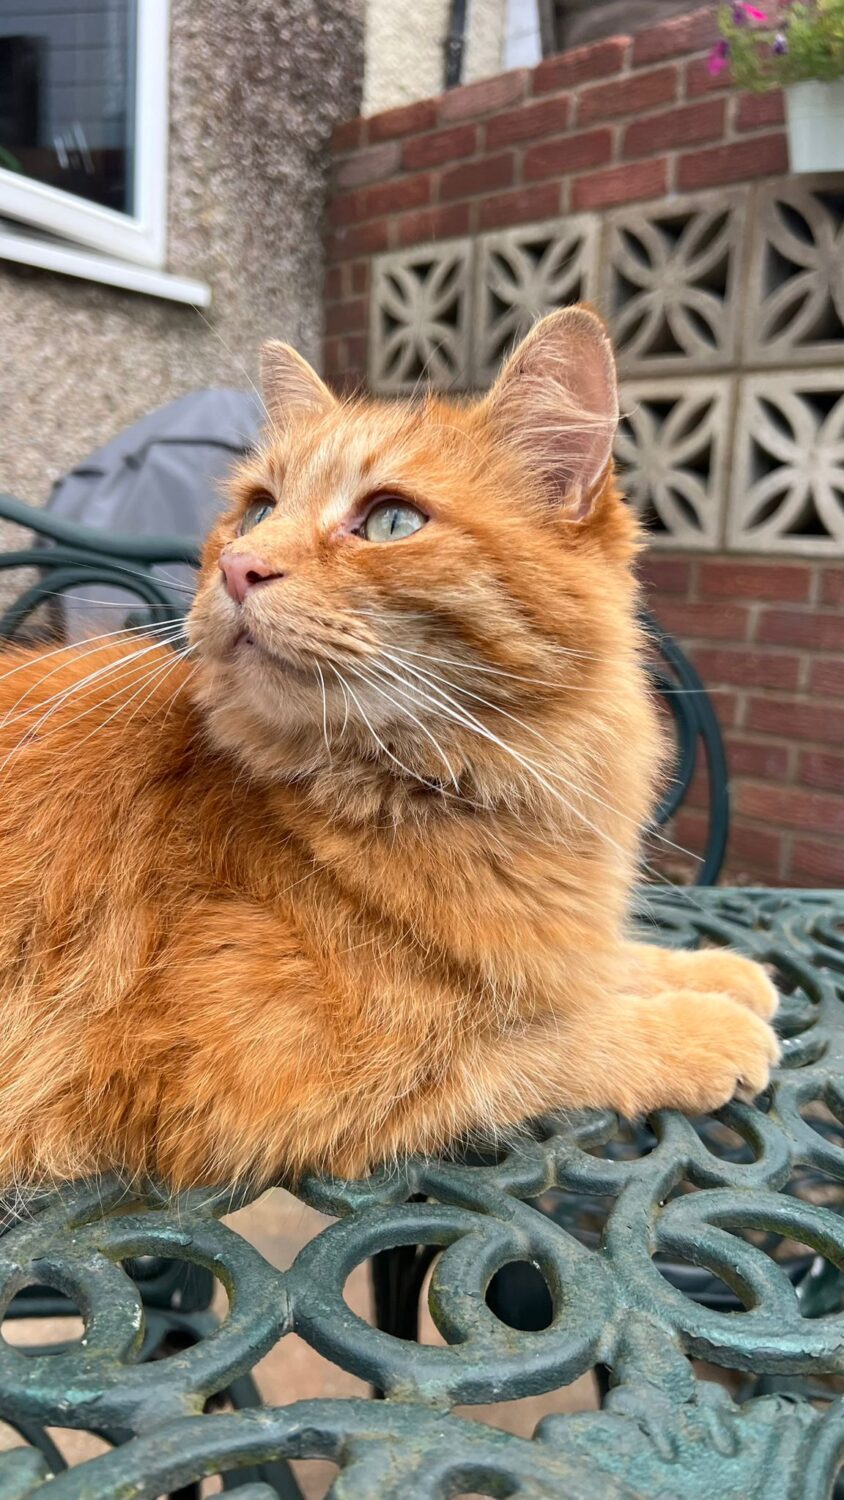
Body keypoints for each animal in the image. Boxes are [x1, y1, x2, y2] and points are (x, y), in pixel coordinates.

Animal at [0, 306, 778, 1193]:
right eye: (259, 511)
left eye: (392, 521)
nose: (238, 565)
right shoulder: (296, 1084)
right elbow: (551, 1039)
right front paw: (698, 1029)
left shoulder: (541, 952)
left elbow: (594, 966)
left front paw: (711, 969)